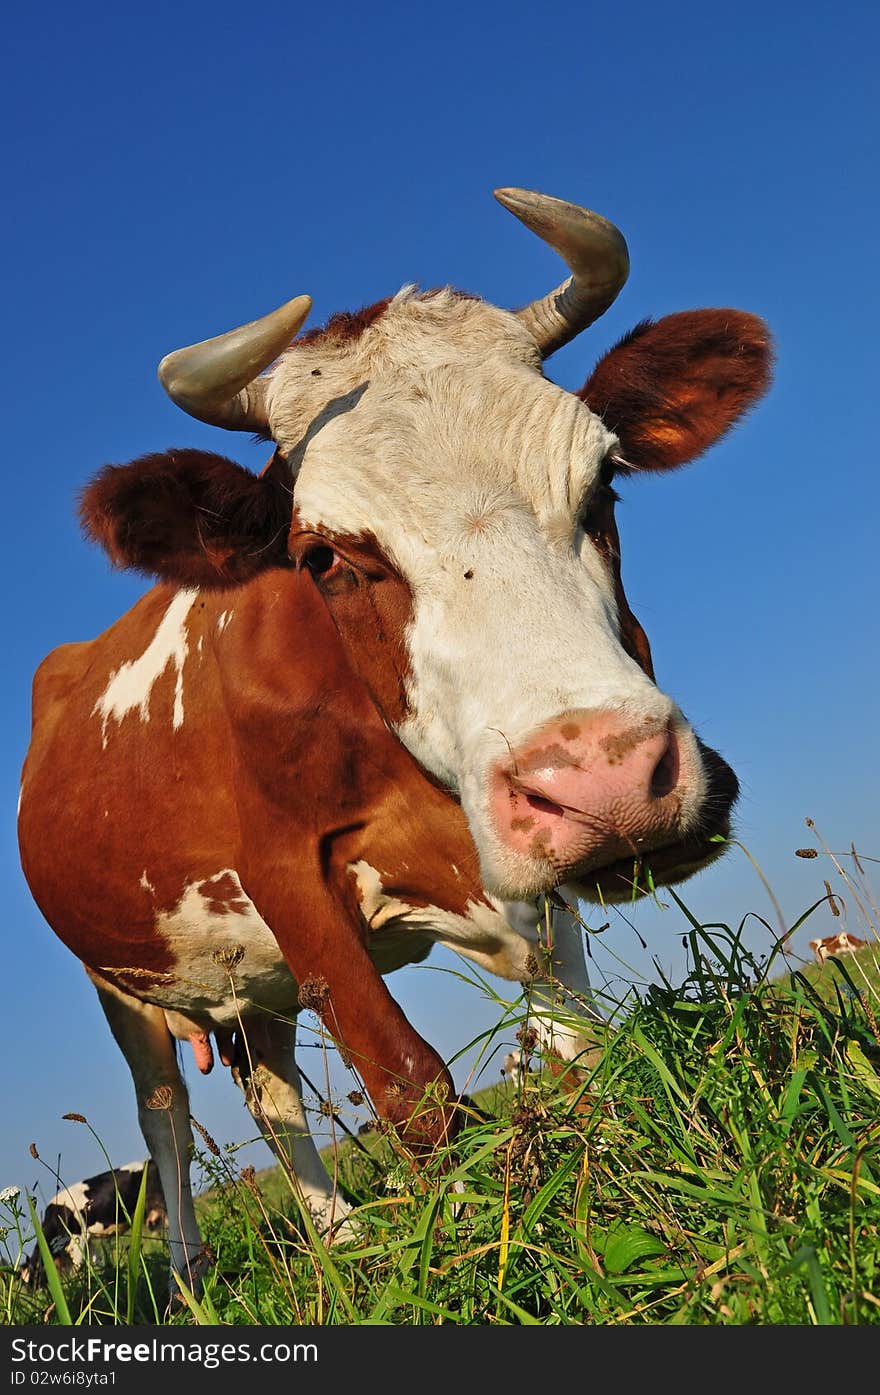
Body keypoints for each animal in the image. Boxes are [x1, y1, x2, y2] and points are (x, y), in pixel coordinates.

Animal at [18, 1155, 166, 1283]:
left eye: (33, 1278)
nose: (34, 1296)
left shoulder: (78, 1240)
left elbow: (75, 1271)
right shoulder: (89, 1241)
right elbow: (96, 1262)